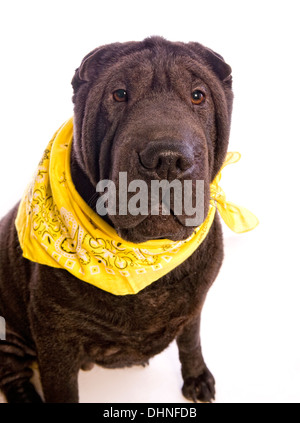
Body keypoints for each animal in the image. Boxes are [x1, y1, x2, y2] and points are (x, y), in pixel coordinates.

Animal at [0, 37, 233, 404]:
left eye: (199, 95)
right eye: (119, 94)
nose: (167, 159)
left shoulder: (194, 303)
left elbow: (190, 339)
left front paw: (196, 377)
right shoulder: (55, 335)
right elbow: (62, 388)